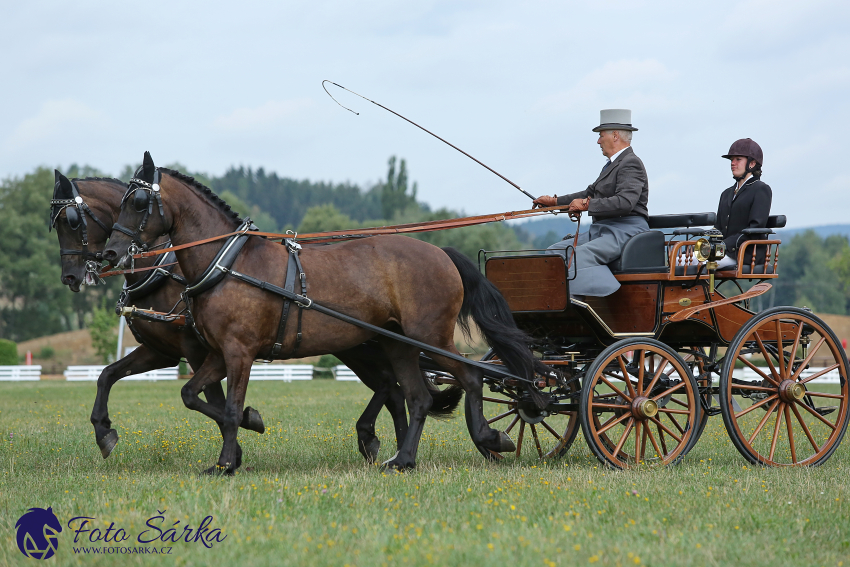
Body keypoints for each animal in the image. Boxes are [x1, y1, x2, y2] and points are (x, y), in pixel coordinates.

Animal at [102, 152, 532, 474]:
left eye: (137, 202)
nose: (110, 252)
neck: (227, 264)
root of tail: (441, 253)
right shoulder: (217, 353)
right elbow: (191, 394)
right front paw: (242, 438)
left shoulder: (239, 353)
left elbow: (230, 409)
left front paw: (226, 462)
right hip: (399, 346)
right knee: (416, 397)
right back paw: (403, 460)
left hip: (430, 337)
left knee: (469, 377)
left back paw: (490, 439)